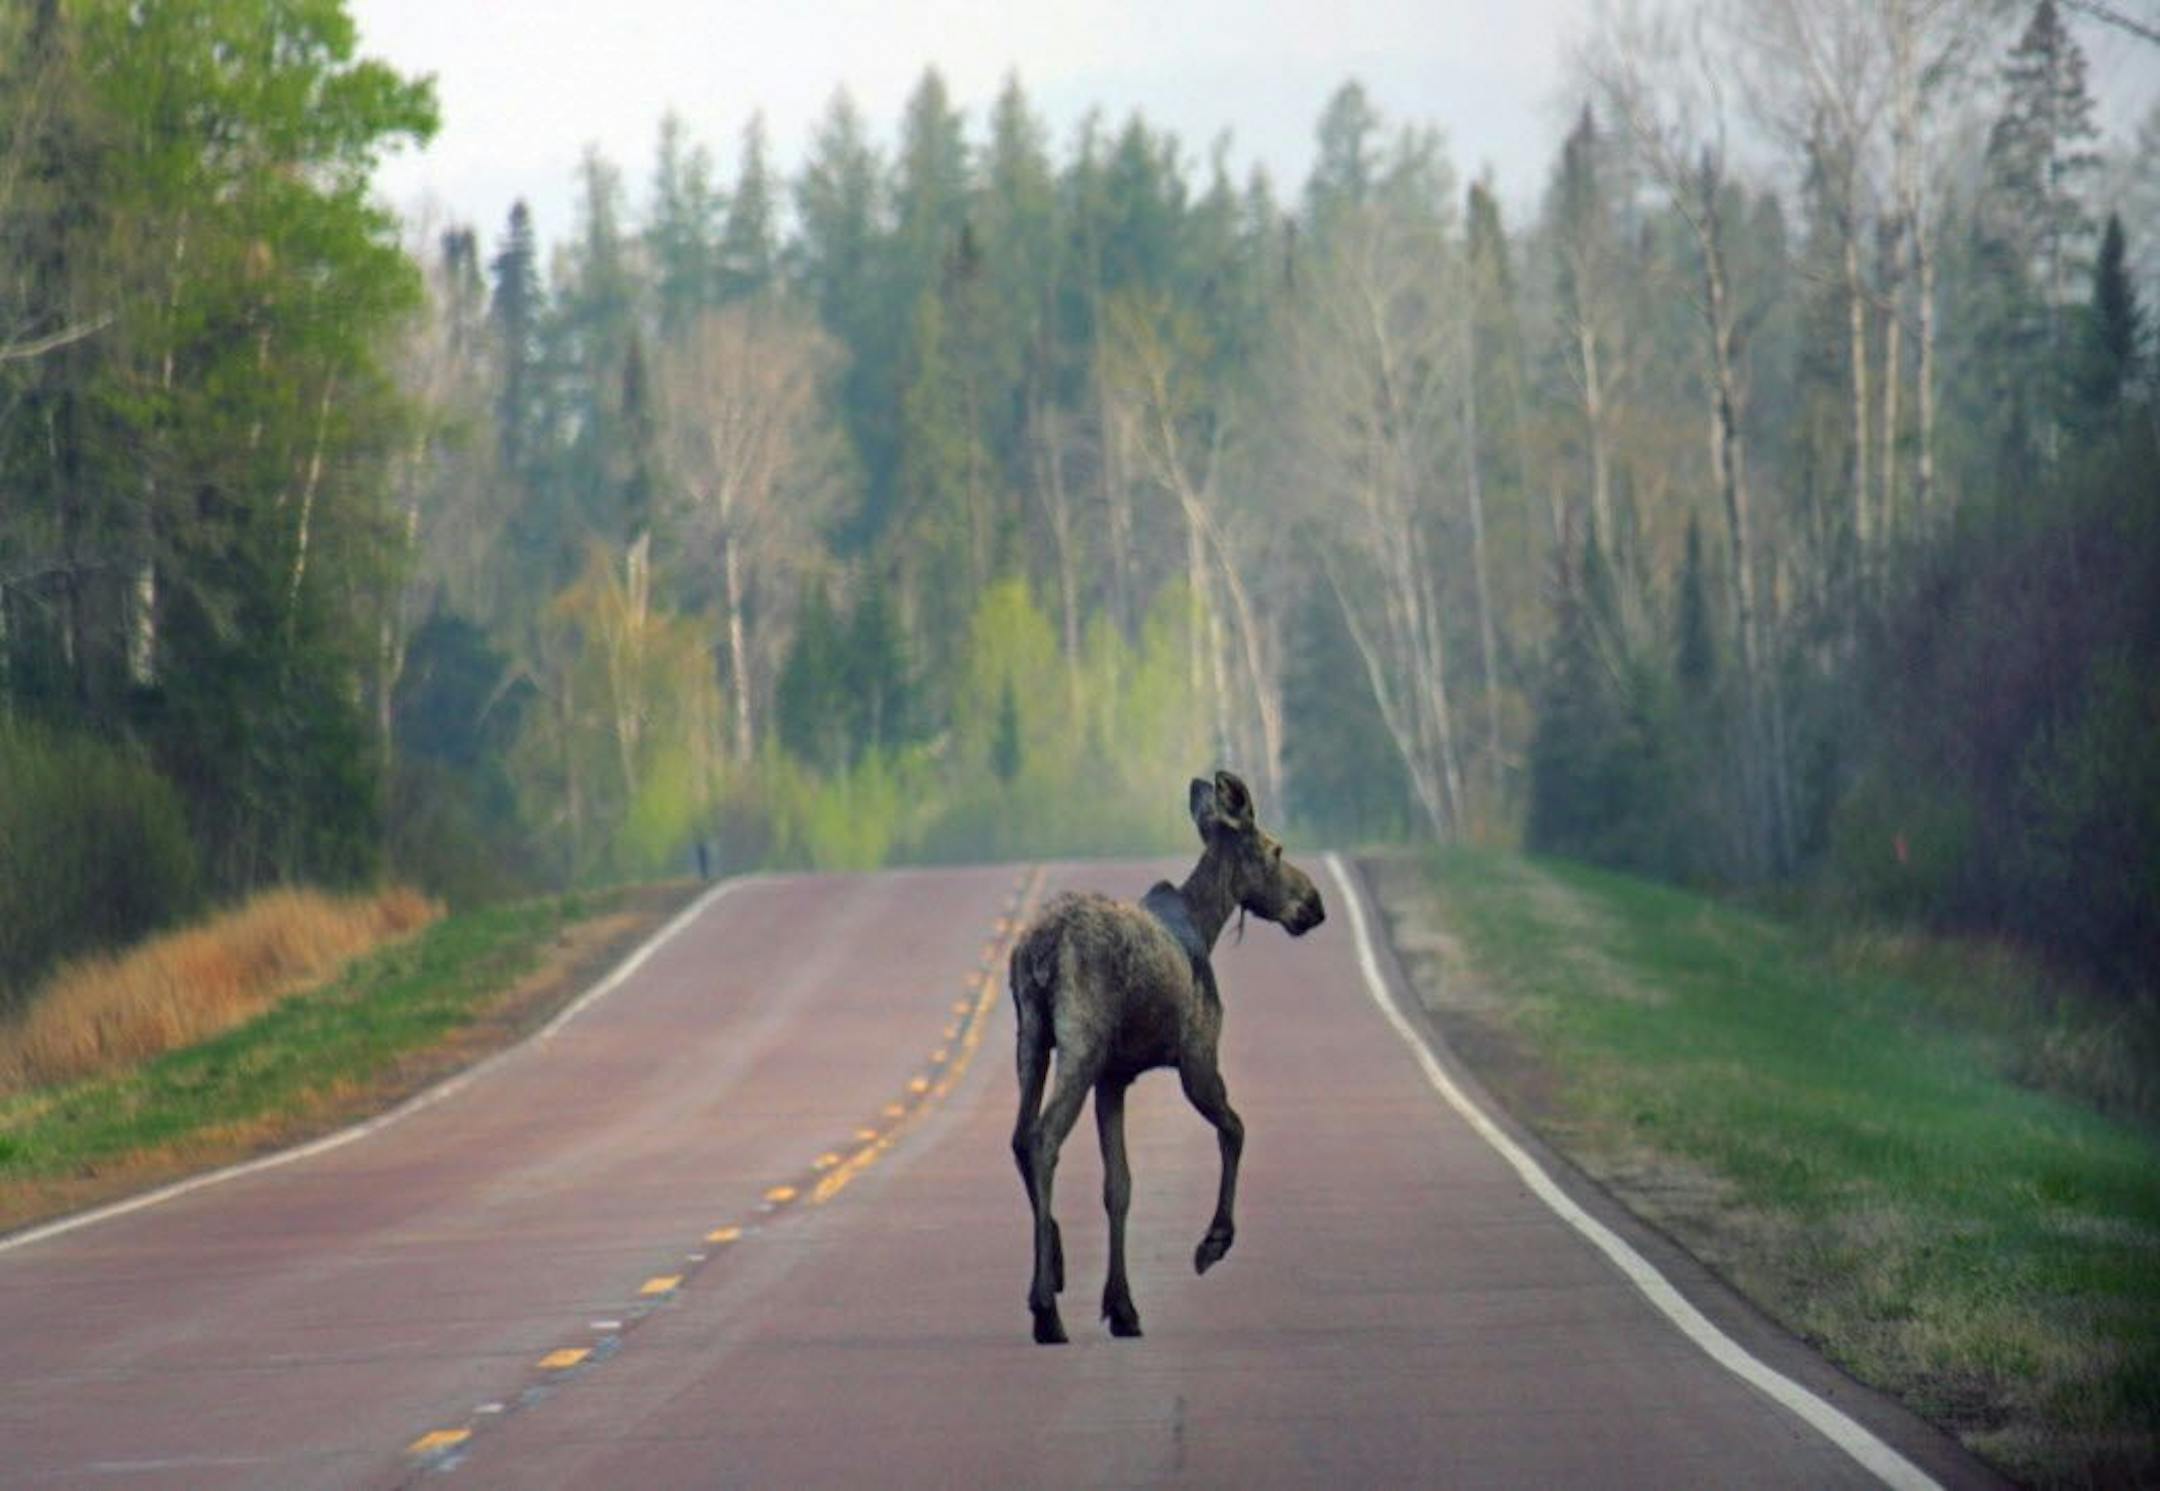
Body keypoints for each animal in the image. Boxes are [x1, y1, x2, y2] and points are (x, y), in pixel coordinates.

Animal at [1008, 769, 1326, 1344]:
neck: (1207, 922)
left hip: (1031, 1039)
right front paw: (1213, 1241)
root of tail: (1042, 949)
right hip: (1080, 1045)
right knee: (1043, 1138)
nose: (1315, 904)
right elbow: (1236, 1129)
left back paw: (1056, 1268)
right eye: (1275, 849)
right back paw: (1046, 1308)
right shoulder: (1198, 1058)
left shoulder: (1114, 1078)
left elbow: (1119, 1185)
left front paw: (1122, 1306)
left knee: (1021, 1137)